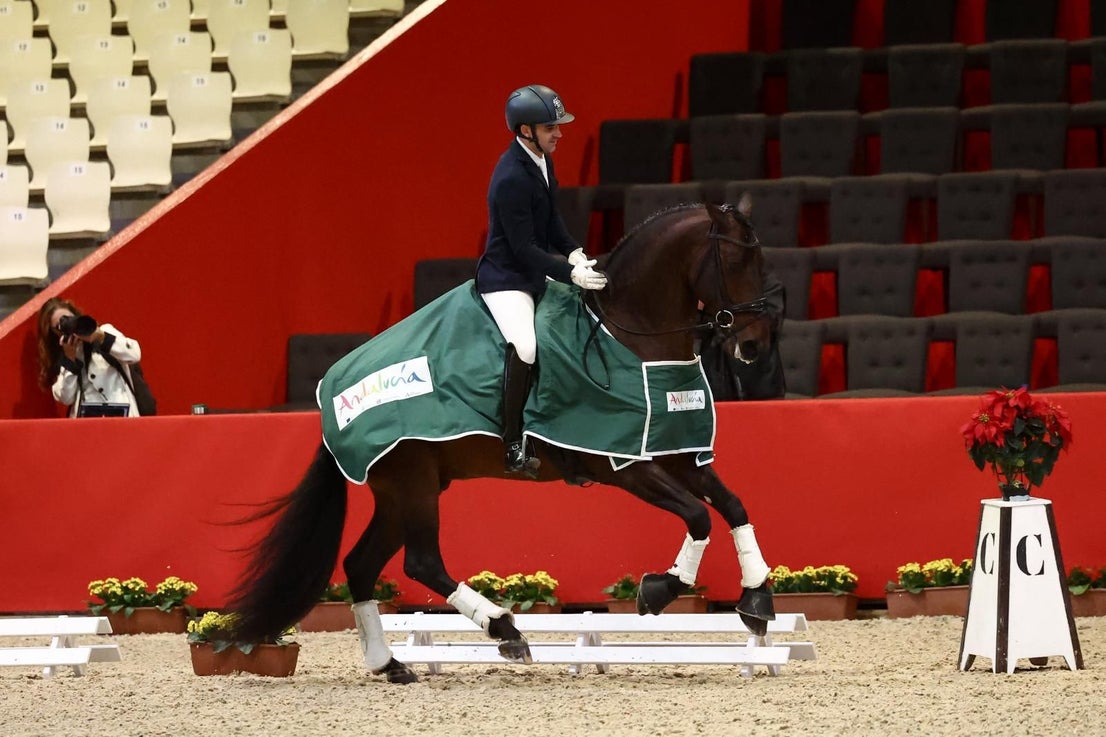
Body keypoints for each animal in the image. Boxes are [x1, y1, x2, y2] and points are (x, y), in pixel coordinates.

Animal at [227, 198, 777, 684]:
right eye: (737, 260)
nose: (754, 345)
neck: (632, 336)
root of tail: (331, 392)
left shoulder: (675, 454)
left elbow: (734, 505)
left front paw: (756, 600)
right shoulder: (623, 463)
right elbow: (699, 515)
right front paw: (659, 590)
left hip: (401, 489)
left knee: (361, 567)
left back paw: (391, 665)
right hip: (412, 479)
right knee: (422, 562)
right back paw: (505, 628)